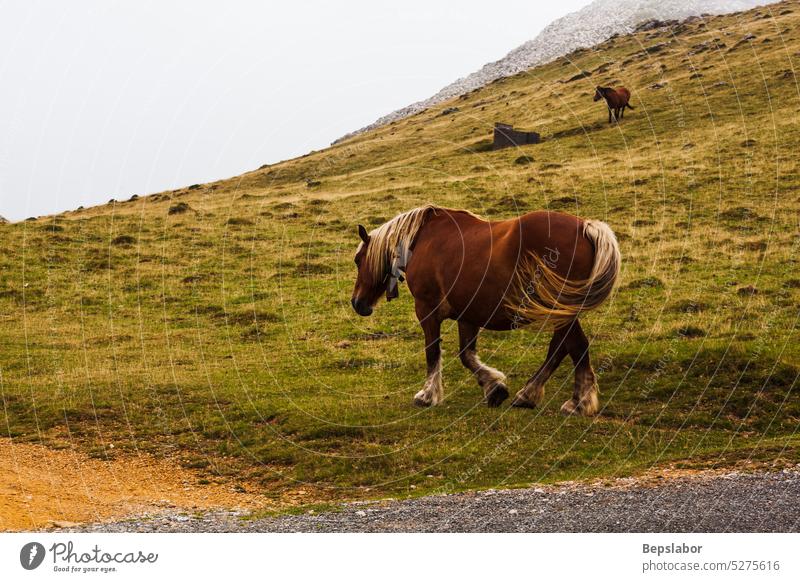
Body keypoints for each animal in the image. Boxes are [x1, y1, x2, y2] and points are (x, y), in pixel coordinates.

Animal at [348, 208, 620, 418]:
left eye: (358, 260)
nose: (357, 303)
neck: (421, 241)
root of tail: (586, 227)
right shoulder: (467, 316)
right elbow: (466, 355)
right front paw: (494, 388)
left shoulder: (427, 310)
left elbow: (433, 353)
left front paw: (427, 395)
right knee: (562, 347)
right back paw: (529, 394)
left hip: (558, 308)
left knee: (574, 345)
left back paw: (578, 402)